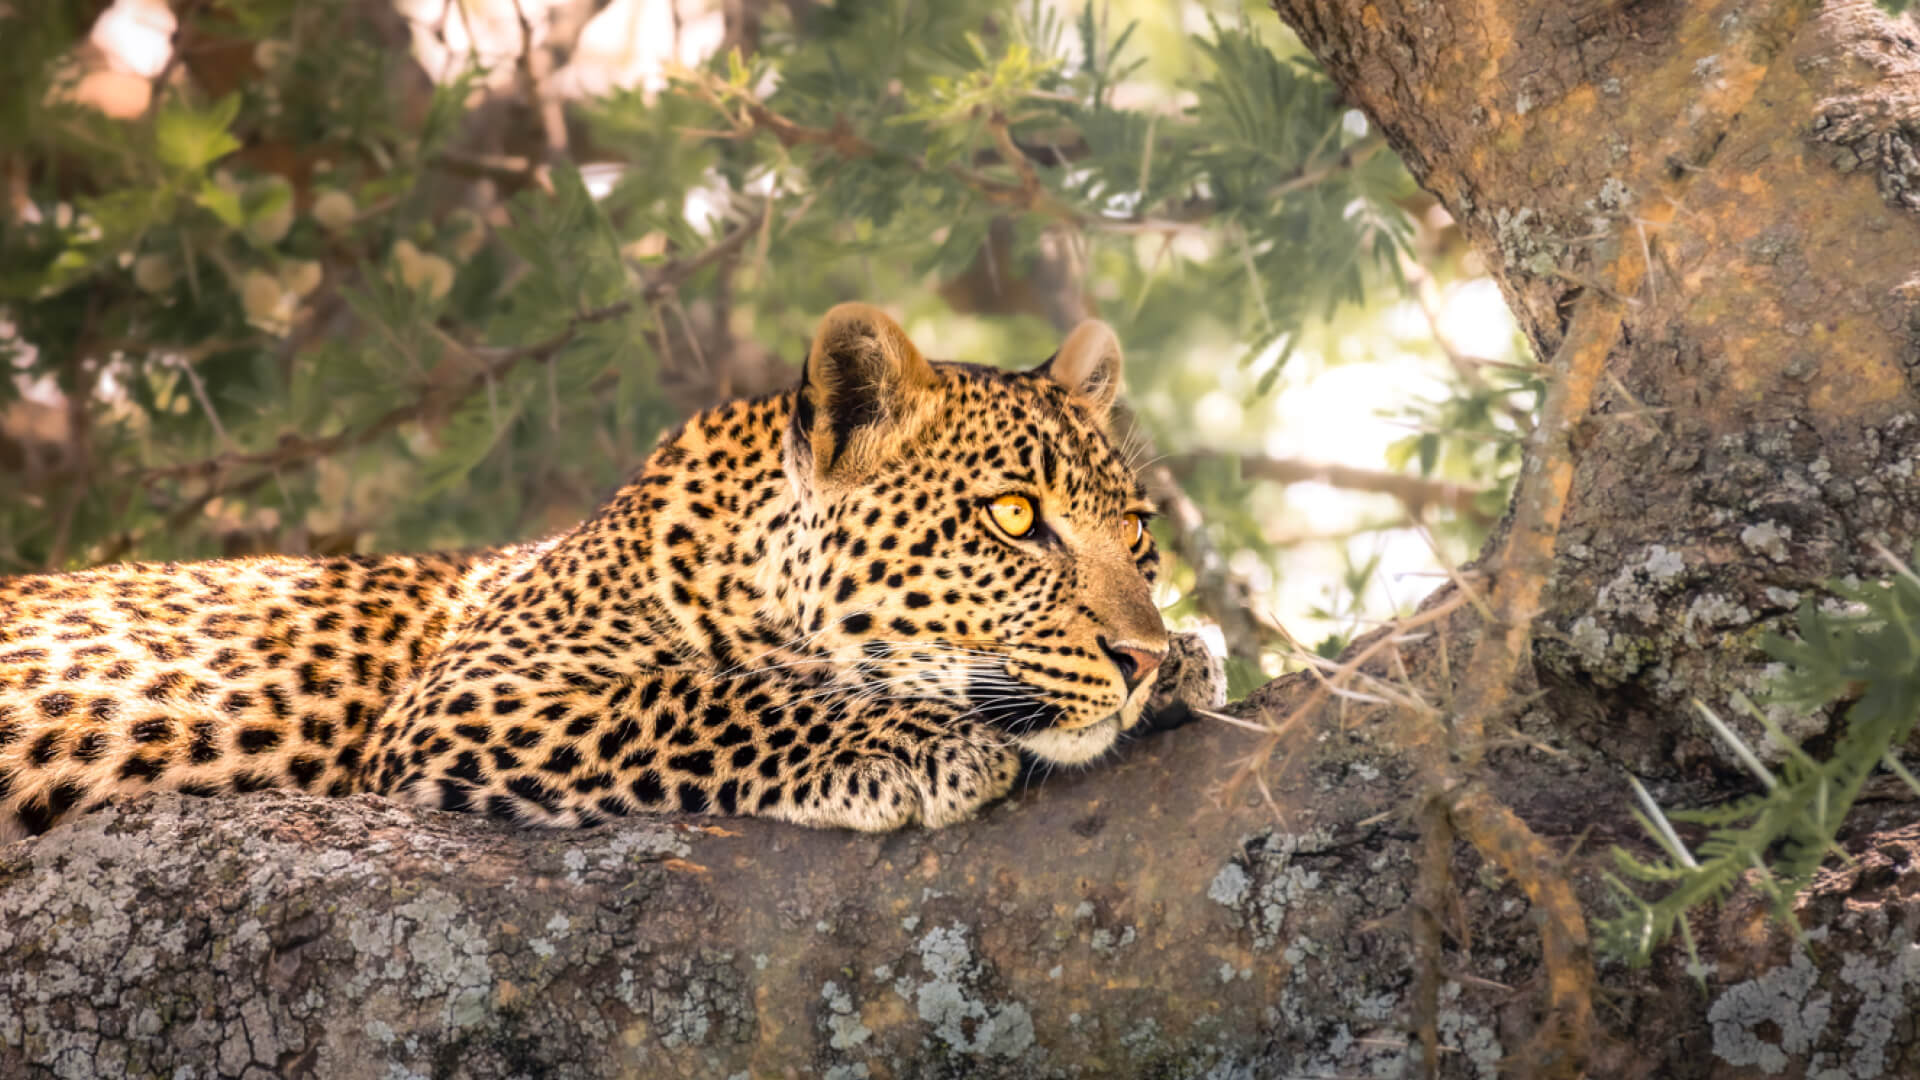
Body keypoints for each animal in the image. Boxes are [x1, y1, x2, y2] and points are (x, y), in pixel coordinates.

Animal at [0, 303, 1171, 840]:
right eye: (1015, 518)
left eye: (1138, 532)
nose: (1144, 658)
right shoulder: (473, 697)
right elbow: (699, 696)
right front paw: (911, 741)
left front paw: (1191, 659)